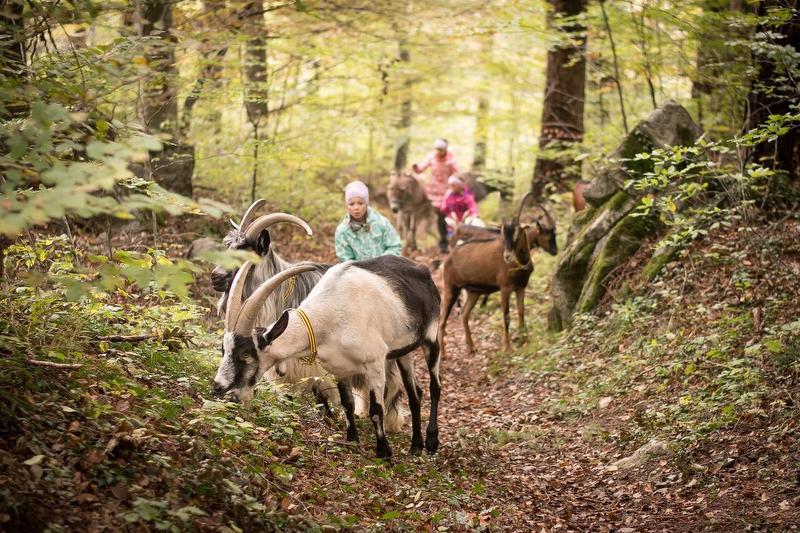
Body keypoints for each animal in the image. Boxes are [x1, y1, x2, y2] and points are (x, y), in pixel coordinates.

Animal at [211, 201, 406, 431]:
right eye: (228, 246)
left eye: (245, 251)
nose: (215, 277)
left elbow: (323, 390)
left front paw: (330, 419)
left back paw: (391, 420)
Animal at [212, 254, 442, 459]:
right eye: (224, 349)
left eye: (245, 353)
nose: (218, 387)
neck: (331, 315)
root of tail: (422, 271)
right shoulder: (339, 368)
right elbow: (347, 403)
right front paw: (352, 440)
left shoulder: (375, 362)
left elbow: (376, 409)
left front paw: (384, 452)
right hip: (404, 351)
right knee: (415, 393)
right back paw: (415, 447)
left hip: (431, 338)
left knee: (435, 386)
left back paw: (431, 443)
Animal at [438, 194, 558, 357]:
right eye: (503, 234)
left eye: (518, 233)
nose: (507, 256)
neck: (519, 263)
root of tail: (448, 258)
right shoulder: (505, 288)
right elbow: (506, 315)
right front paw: (507, 347)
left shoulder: (521, 287)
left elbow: (521, 311)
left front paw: (524, 338)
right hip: (451, 287)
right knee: (442, 318)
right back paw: (443, 354)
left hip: (473, 291)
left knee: (464, 314)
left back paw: (471, 347)